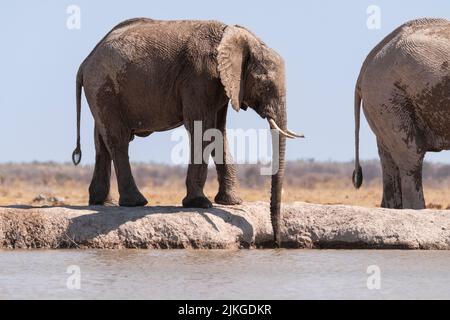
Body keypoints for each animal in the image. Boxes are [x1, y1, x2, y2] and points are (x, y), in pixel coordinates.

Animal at [71, 17, 302, 245]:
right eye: (265, 85)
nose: (277, 242)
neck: (236, 35)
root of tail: (85, 62)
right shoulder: (200, 77)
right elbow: (202, 129)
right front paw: (200, 204)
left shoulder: (221, 85)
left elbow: (219, 131)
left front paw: (232, 202)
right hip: (104, 87)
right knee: (117, 139)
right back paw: (135, 203)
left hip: (101, 90)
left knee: (101, 141)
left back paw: (102, 202)